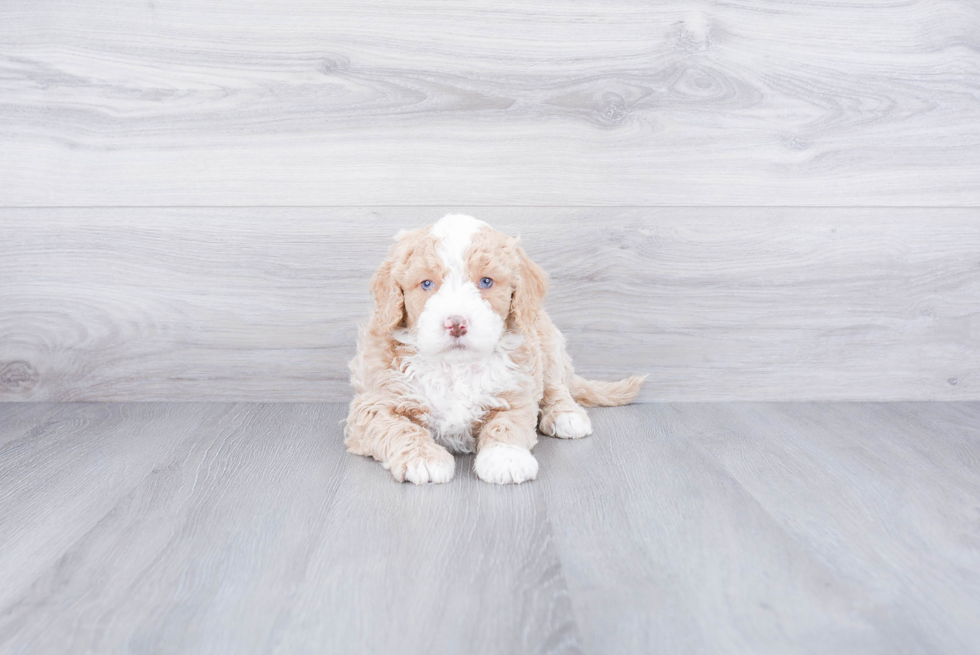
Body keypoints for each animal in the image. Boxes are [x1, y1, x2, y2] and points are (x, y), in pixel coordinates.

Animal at [342, 213, 644, 484]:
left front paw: (505, 459)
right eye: (427, 284)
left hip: (546, 341)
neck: (456, 366)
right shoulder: (374, 404)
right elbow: (399, 429)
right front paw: (423, 459)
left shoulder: (516, 392)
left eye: (486, 282)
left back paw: (566, 415)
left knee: (556, 385)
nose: (456, 323)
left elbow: (507, 424)